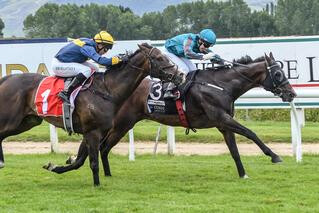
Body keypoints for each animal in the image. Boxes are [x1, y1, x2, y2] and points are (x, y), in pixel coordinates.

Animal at [0, 42, 185, 185]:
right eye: (160, 58)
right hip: (12, 120)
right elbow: (93, 162)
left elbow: (79, 161)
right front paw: (97, 185)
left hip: (27, 121)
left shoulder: (94, 132)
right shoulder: (93, 132)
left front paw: (55, 167)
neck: (107, 90)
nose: (180, 75)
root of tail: (7, 79)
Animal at [68, 52, 298, 179]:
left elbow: (234, 151)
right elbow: (251, 133)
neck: (221, 85)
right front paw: (275, 156)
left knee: (104, 148)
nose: (292, 94)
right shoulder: (221, 117)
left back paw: (107, 175)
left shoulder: (223, 124)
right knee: (103, 147)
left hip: (122, 125)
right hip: (120, 124)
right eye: (278, 73)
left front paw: (243, 174)